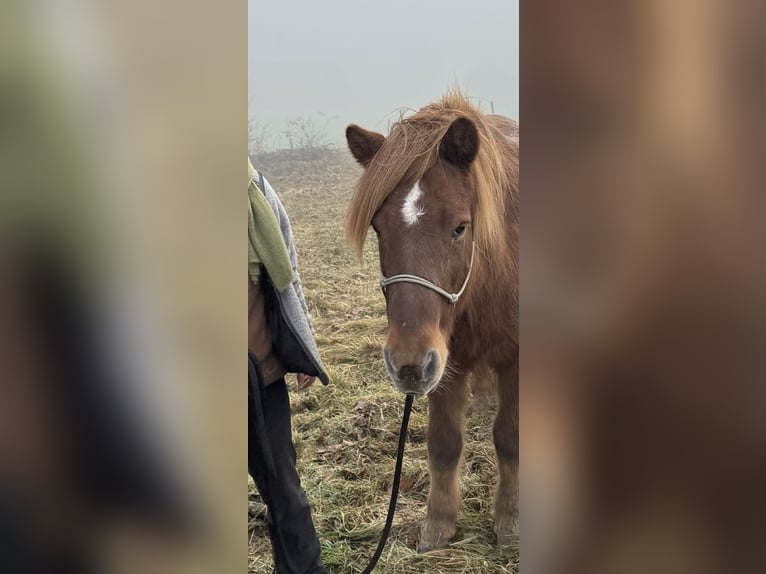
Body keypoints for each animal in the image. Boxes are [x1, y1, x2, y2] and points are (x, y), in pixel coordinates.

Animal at [345, 90, 519, 551]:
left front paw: (510, 520)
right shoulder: (445, 363)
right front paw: (439, 524)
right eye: (378, 229)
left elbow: (509, 437)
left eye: (460, 227)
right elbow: (444, 443)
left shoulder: (515, 360)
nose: (405, 363)